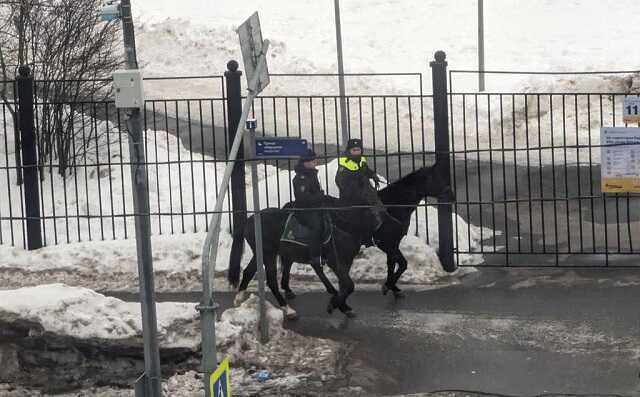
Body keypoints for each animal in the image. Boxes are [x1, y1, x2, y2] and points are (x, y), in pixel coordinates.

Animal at [226, 200, 368, 318]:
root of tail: (249, 220)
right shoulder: (335, 262)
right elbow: (348, 285)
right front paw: (334, 305)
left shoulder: (341, 263)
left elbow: (338, 286)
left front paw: (343, 307)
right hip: (268, 254)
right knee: (271, 281)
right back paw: (288, 309)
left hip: (260, 254)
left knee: (248, 272)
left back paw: (239, 298)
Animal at [282, 159, 456, 298]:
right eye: (435, 177)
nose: (451, 194)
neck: (391, 207)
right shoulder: (386, 243)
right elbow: (402, 264)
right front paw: (388, 286)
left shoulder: (393, 243)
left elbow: (392, 264)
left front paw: (393, 287)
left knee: (297, 261)